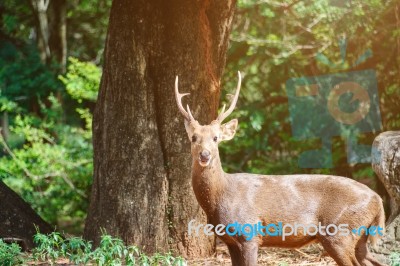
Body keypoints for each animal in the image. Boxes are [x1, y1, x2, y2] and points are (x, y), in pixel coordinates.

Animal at [174, 71, 384, 266]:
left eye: (216, 138)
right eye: (193, 137)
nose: (205, 155)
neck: (220, 196)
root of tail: (378, 199)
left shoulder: (250, 233)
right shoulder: (231, 242)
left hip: (340, 232)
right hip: (359, 237)